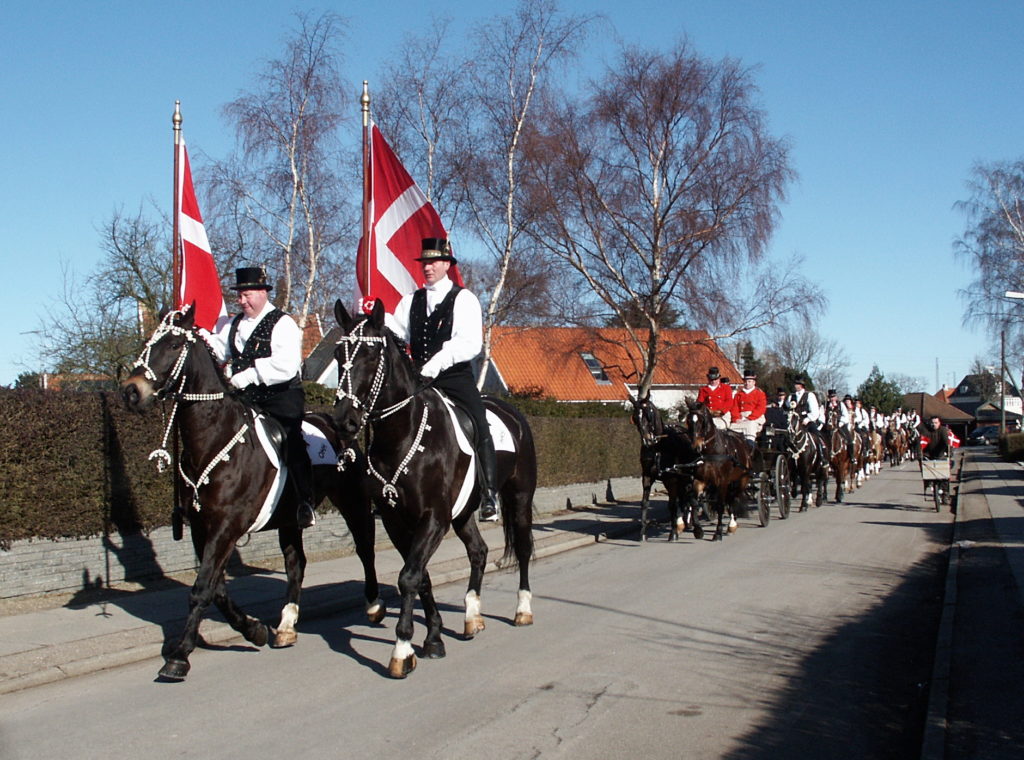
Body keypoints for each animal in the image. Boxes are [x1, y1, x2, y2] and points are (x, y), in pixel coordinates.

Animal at [120, 309, 385, 684]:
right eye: (147, 341)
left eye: (173, 344)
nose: (131, 391)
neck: (216, 438)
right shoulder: (203, 528)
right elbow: (215, 588)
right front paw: (254, 629)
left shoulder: (226, 525)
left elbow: (201, 588)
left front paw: (180, 656)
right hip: (290, 519)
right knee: (296, 564)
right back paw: (286, 626)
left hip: (353, 503)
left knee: (364, 549)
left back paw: (373, 606)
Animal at [329, 301, 540, 680]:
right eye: (339, 354)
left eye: (370, 353)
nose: (343, 421)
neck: (402, 437)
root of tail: (513, 414)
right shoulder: (398, 521)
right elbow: (420, 577)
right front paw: (433, 638)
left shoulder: (433, 519)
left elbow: (409, 577)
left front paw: (402, 649)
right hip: (465, 513)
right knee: (479, 552)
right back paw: (472, 616)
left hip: (519, 499)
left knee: (524, 548)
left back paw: (522, 610)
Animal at [630, 399, 704, 540]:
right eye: (635, 418)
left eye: (649, 415)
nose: (647, 440)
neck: (658, 447)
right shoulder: (647, 477)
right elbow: (645, 503)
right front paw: (642, 532)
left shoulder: (671, 478)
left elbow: (673, 505)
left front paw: (673, 533)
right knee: (685, 499)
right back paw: (685, 523)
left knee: (691, 499)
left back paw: (694, 525)